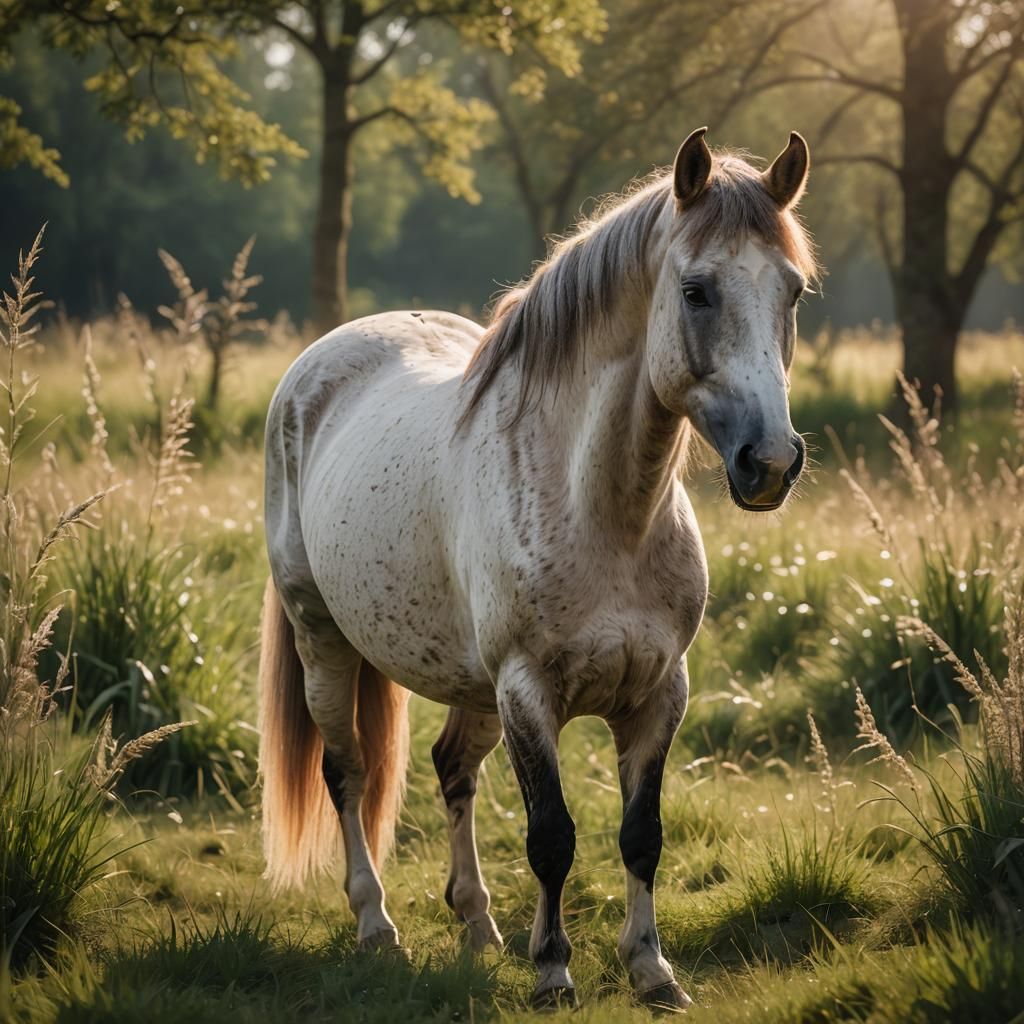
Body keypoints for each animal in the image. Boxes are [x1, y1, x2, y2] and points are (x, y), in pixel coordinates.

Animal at [258, 126, 818, 1011]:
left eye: (793, 292)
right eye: (696, 291)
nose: (769, 463)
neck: (603, 513)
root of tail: (320, 362)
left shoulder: (659, 693)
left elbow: (642, 835)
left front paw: (651, 970)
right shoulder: (529, 692)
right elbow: (552, 837)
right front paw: (553, 969)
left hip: (470, 684)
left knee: (452, 770)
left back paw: (479, 925)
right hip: (325, 642)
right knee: (345, 772)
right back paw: (376, 925)